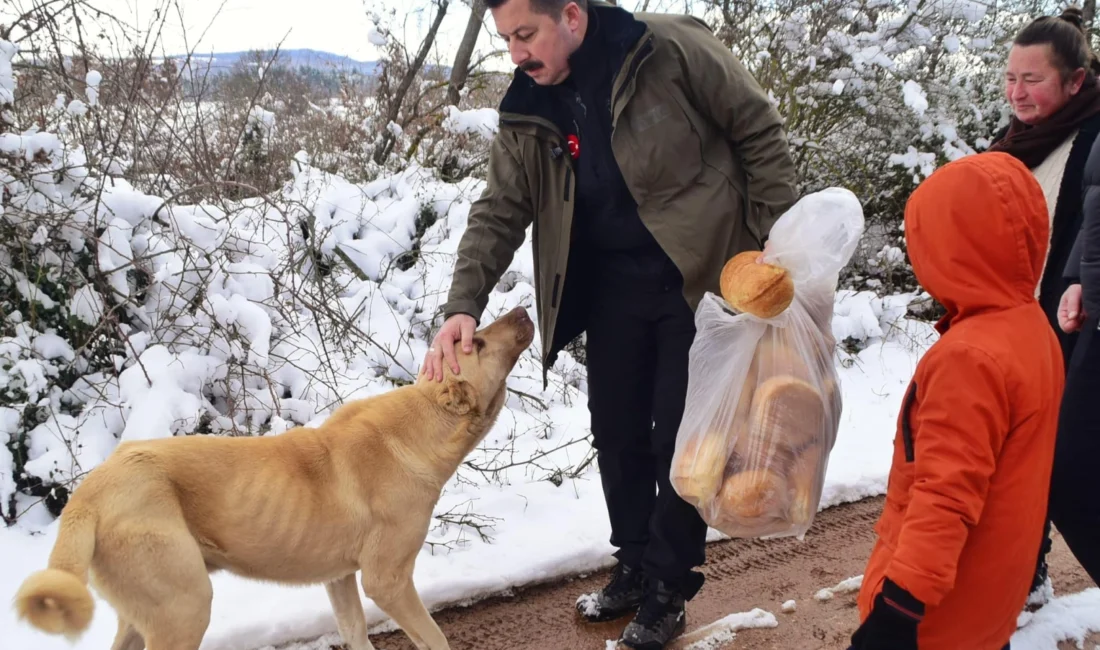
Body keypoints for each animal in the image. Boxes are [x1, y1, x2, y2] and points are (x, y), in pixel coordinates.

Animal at [11, 305, 536, 650]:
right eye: (478, 341)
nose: (522, 308)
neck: (427, 421)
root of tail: (88, 493)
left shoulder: (340, 579)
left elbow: (355, 633)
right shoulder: (387, 581)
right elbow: (434, 637)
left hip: (144, 616)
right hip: (184, 609)